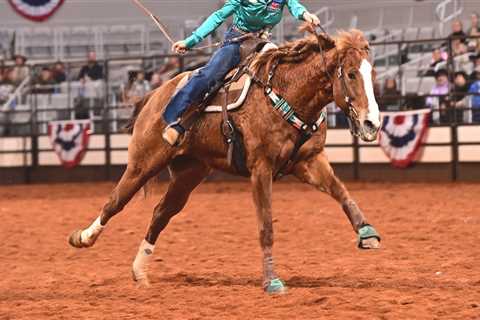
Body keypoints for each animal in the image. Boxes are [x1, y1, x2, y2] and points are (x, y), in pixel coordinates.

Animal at [68, 28, 382, 296]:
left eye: (373, 73)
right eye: (351, 74)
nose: (373, 123)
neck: (287, 92)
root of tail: (155, 96)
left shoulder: (309, 161)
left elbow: (342, 192)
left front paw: (367, 232)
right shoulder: (261, 168)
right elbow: (266, 227)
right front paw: (272, 281)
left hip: (188, 175)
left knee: (160, 213)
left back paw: (139, 272)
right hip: (143, 163)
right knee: (115, 202)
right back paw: (83, 238)